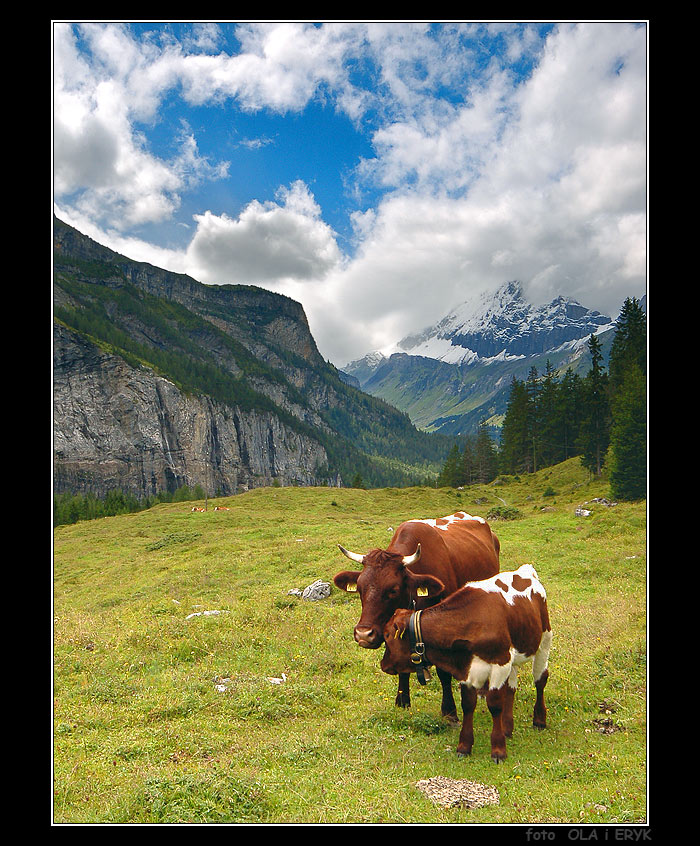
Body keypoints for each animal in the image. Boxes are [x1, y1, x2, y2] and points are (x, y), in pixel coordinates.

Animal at [334, 512, 498, 724]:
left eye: (393, 590)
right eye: (360, 588)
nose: (363, 634)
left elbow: (443, 672)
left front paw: (450, 711)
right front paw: (402, 702)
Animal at [378, 568, 552, 764]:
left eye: (387, 635)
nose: (383, 664)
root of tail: (524, 570)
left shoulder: (500, 663)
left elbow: (495, 705)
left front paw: (498, 750)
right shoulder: (466, 668)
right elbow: (468, 704)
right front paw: (464, 746)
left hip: (544, 640)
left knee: (540, 680)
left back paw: (539, 720)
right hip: (513, 655)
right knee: (511, 688)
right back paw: (507, 728)